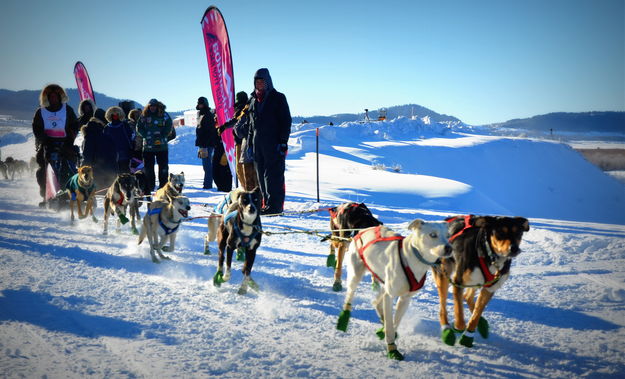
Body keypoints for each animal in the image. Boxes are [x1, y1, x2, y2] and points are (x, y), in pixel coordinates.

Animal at [338, 221, 450, 360]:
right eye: (433, 234)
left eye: (448, 235)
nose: (449, 248)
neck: (411, 258)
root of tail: (363, 230)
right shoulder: (390, 296)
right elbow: (390, 327)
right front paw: (392, 349)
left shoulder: (405, 299)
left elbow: (394, 322)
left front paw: (386, 332)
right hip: (355, 275)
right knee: (350, 295)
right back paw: (344, 318)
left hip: (384, 283)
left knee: (376, 302)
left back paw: (381, 318)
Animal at [432, 215, 528, 348]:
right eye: (500, 232)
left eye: (518, 232)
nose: (514, 248)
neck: (489, 256)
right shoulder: (458, 282)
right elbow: (459, 312)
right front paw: (459, 327)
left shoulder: (490, 288)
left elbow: (476, 315)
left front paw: (468, 336)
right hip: (444, 275)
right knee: (443, 307)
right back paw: (447, 329)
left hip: (477, 282)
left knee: (468, 297)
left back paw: (482, 323)